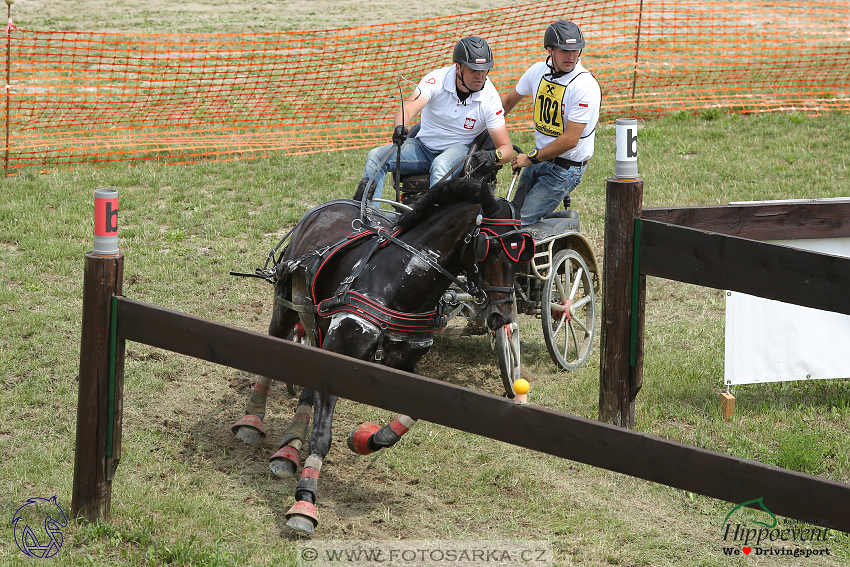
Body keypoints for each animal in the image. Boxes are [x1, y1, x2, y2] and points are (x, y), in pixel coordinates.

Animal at [229, 179, 528, 536]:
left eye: (524, 251)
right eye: (490, 247)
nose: (502, 316)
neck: (398, 283)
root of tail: (332, 205)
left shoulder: (404, 361)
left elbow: (416, 411)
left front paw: (368, 439)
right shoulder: (339, 355)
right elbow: (322, 435)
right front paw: (305, 500)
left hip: (317, 329)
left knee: (307, 388)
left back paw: (289, 448)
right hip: (287, 308)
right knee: (273, 350)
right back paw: (252, 420)